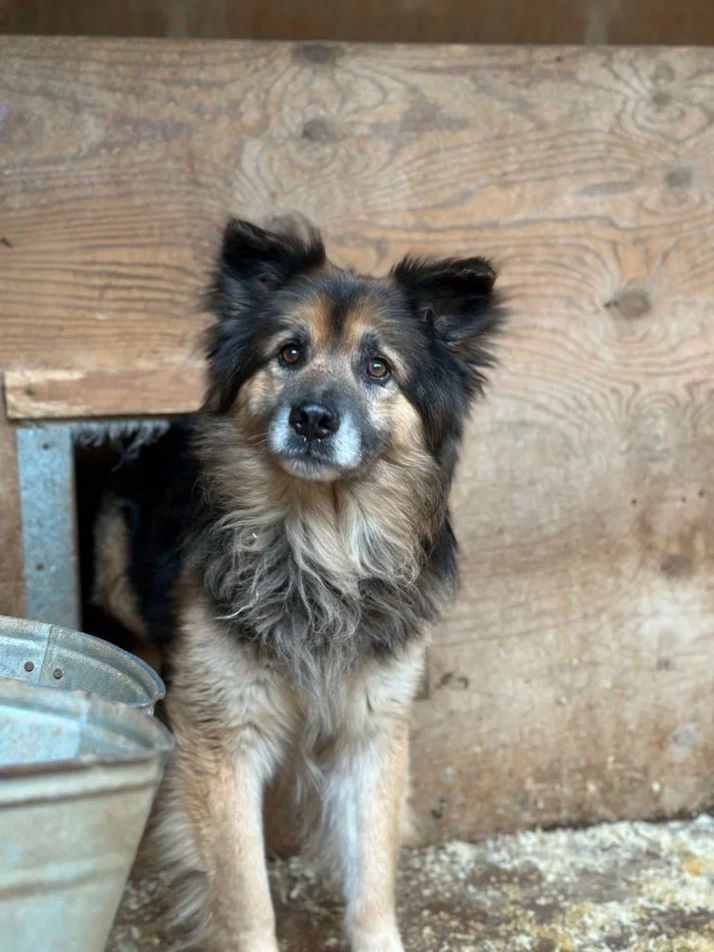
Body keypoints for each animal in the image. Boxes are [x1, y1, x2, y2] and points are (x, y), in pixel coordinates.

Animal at [93, 216, 505, 952]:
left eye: (378, 369)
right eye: (289, 353)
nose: (313, 418)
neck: (320, 546)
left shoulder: (374, 731)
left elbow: (371, 884)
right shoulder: (222, 738)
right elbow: (245, 897)